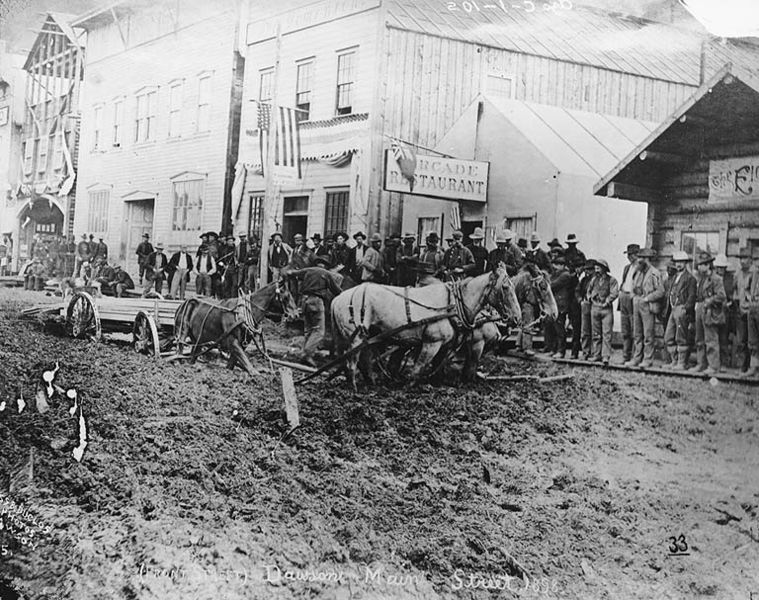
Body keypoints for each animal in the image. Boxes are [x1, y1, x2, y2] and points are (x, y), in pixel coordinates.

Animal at [332, 266, 524, 390]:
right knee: (351, 361)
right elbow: (418, 368)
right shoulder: (432, 343)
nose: (517, 318)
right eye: (505, 287)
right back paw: (354, 389)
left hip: (367, 335)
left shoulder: (445, 345)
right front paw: (406, 387)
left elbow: (437, 368)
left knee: (363, 359)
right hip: (356, 336)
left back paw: (370, 382)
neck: (453, 304)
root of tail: (338, 298)